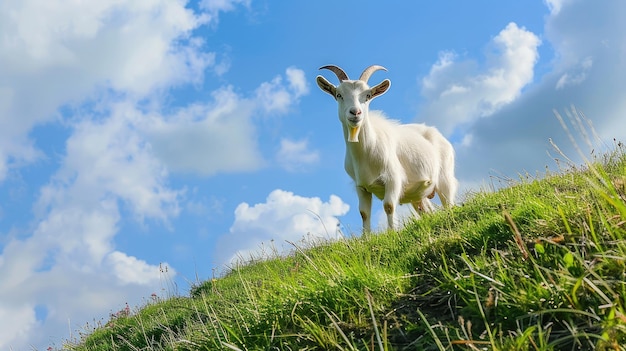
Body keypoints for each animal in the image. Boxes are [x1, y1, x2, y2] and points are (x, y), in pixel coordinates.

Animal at [314, 64, 456, 232]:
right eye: (338, 95)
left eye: (368, 95)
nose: (355, 112)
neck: (366, 152)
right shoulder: (361, 186)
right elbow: (364, 213)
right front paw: (366, 237)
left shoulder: (393, 179)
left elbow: (389, 206)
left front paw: (392, 233)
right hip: (418, 194)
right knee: (427, 210)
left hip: (444, 178)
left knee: (449, 203)